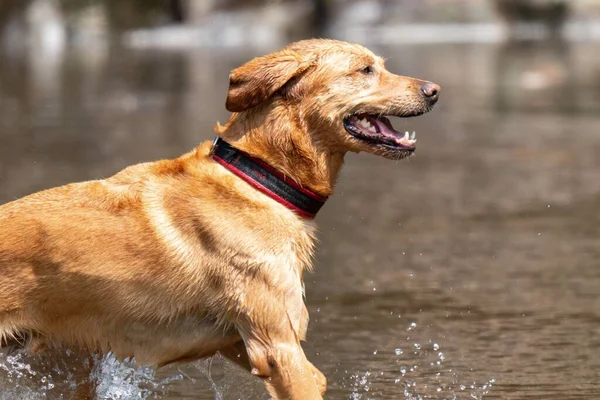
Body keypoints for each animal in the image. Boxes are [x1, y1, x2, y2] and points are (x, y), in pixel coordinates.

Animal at [1, 38, 440, 400]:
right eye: (365, 70)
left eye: (379, 65)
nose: (434, 91)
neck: (260, 178)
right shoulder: (276, 346)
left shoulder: (241, 342)